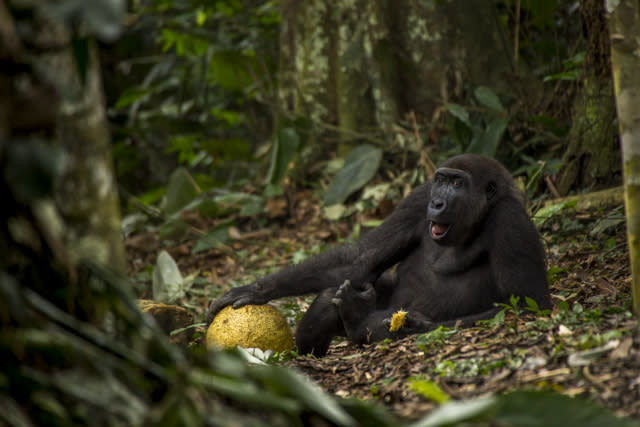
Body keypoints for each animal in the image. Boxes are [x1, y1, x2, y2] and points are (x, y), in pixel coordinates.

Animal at [209, 155, 552, 358]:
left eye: (458, 183)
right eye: (441, 180)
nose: (438, 203)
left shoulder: (510, 221)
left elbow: (527, 305)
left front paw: (414, 325)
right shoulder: (418, 198)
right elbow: (359, 259)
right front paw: (256, 289)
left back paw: (358, 319)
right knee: (332, 295)